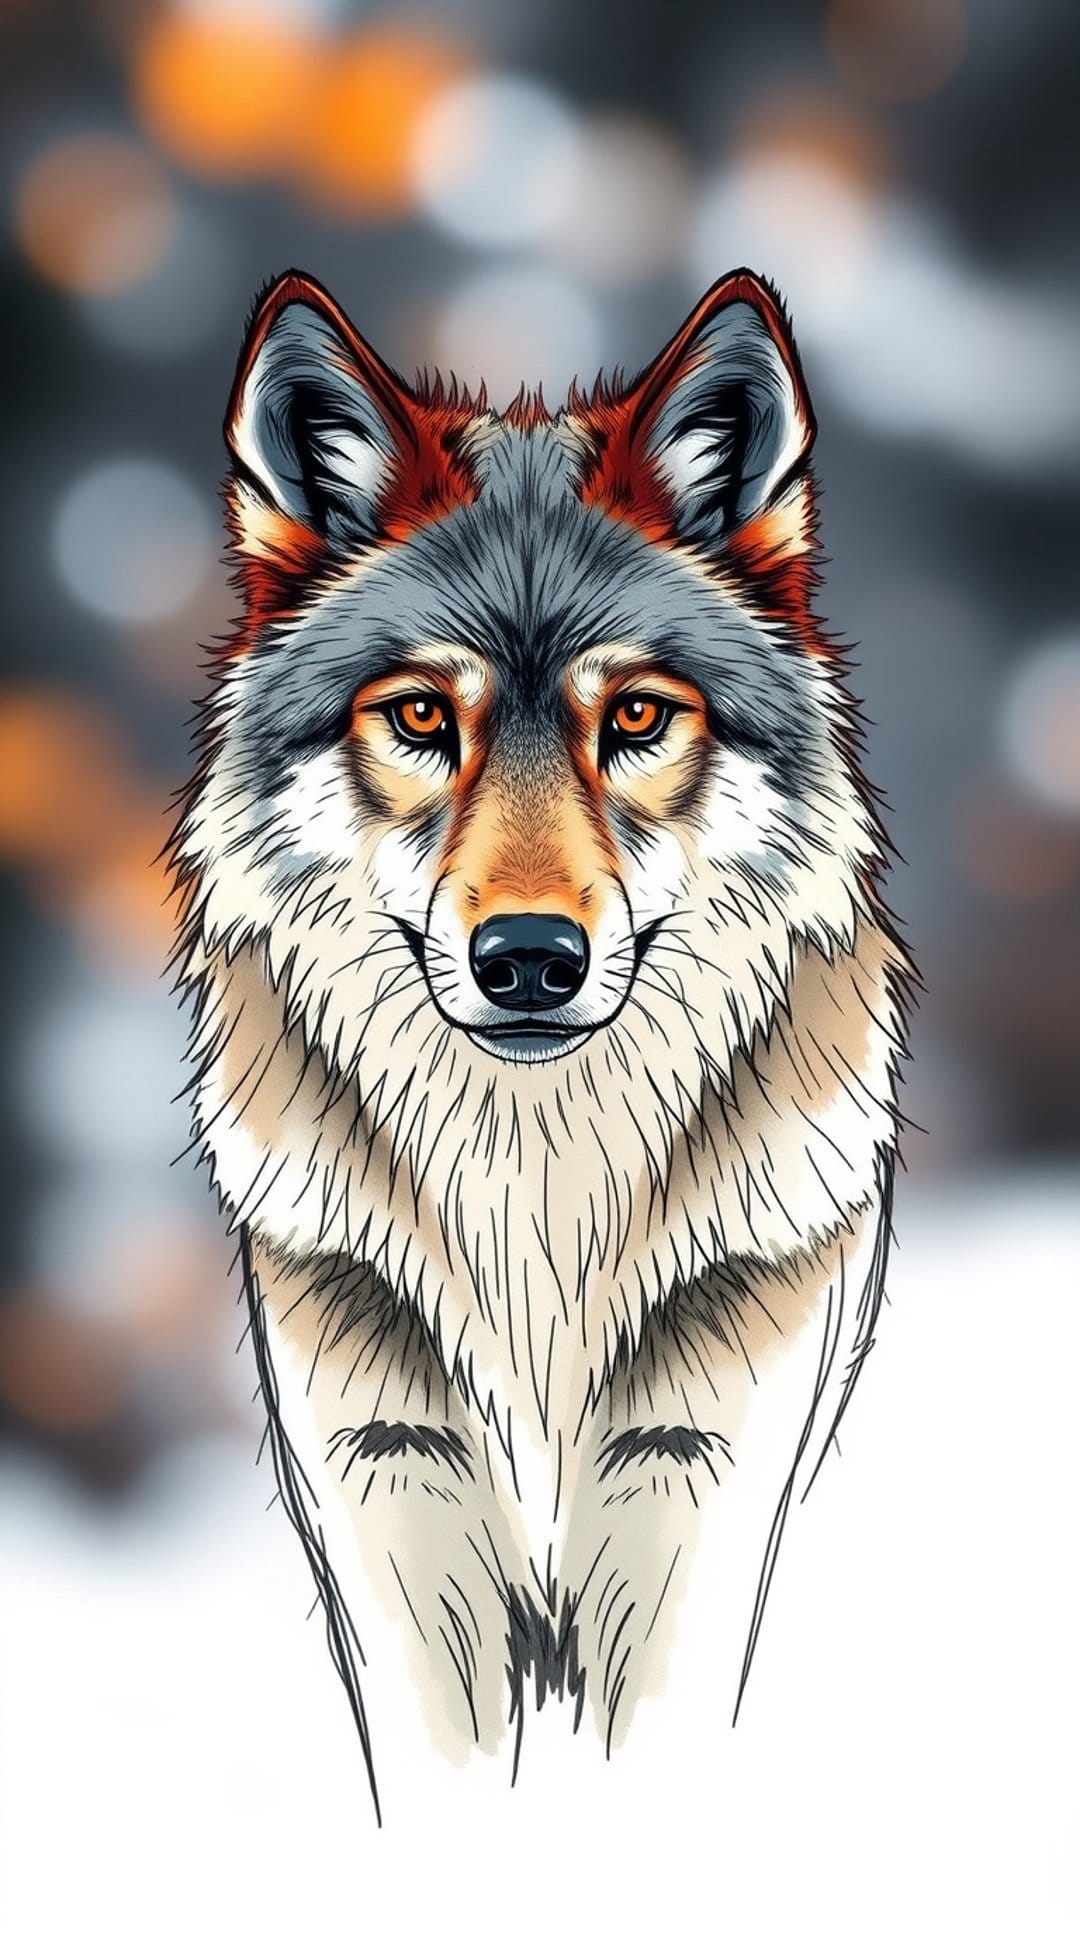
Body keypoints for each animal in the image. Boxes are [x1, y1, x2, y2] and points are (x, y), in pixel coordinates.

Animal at [173, 268, 911, 1820]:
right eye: (418, 715)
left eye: (632, 714)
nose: (527, 960)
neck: (536, 1216)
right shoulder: (387, 1489)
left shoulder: (703, 1480)